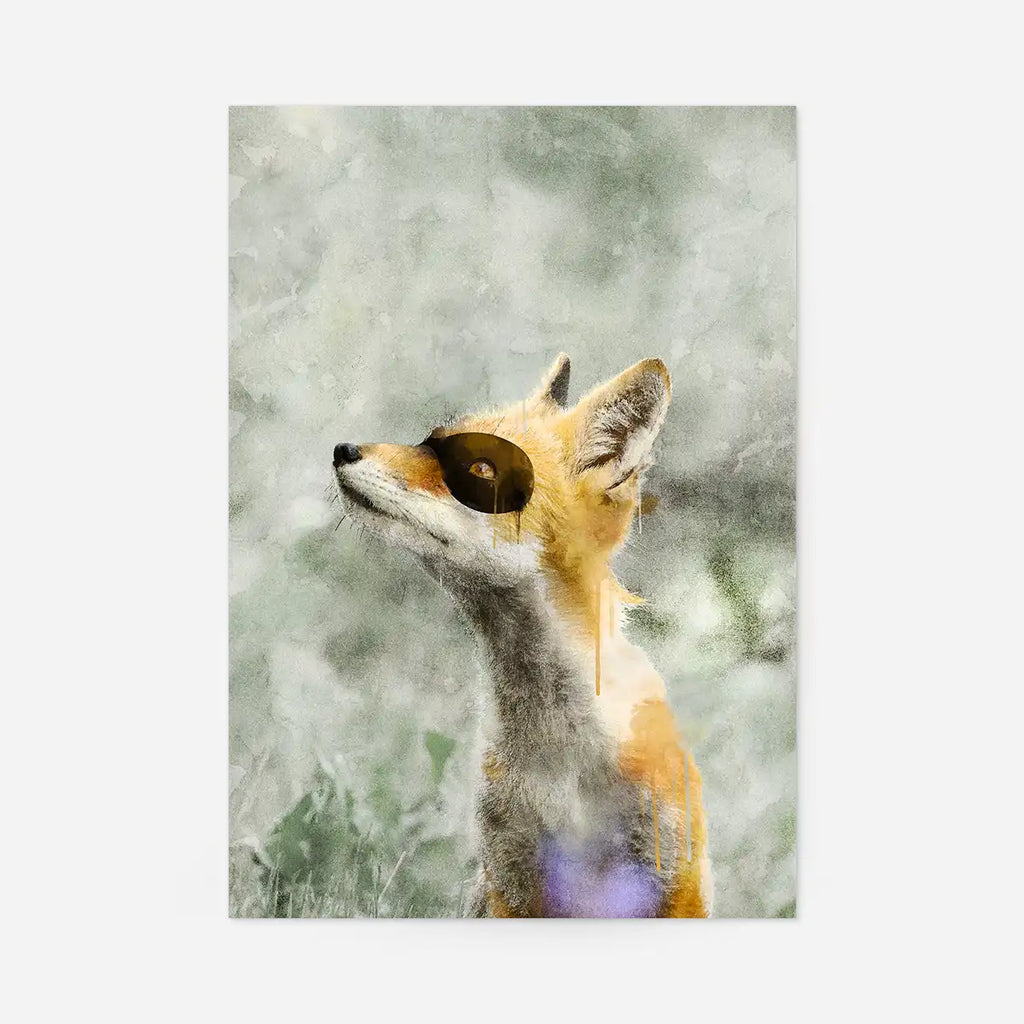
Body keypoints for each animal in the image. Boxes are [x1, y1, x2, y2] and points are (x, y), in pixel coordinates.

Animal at [331, 354, 712, 917]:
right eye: (427, 440)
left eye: (480, 470)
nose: (343, 449)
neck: (563, 763)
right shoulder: (509, 881)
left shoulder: (671, 879)